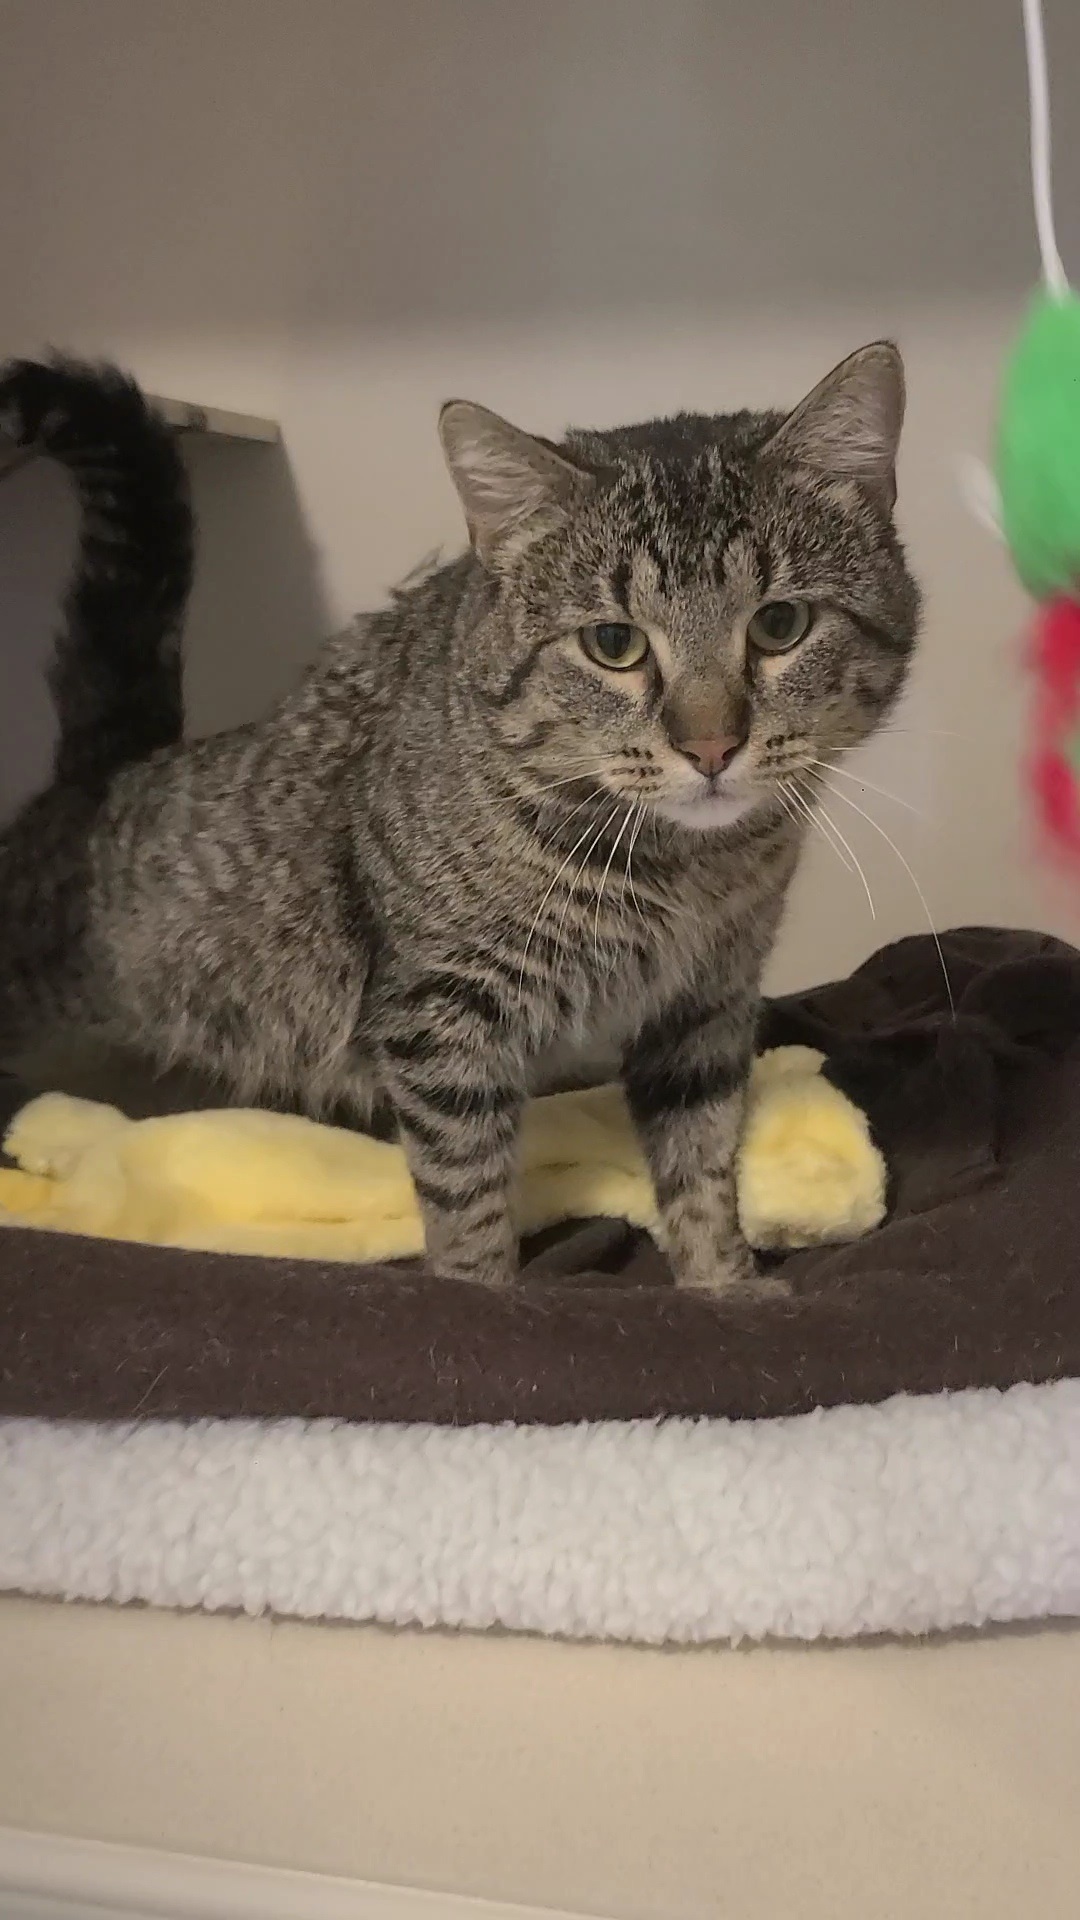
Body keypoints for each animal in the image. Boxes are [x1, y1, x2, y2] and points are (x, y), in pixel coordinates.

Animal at [0, 344, 919, 1293]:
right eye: (614, 644)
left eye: (780, 624)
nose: (710, 746)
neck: (687, 868)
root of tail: (105, 774)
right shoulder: (442, 1016)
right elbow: (468, 1194)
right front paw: (482, 1292)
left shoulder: (707, 1006)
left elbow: (700, 1163)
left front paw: (722, 1283)